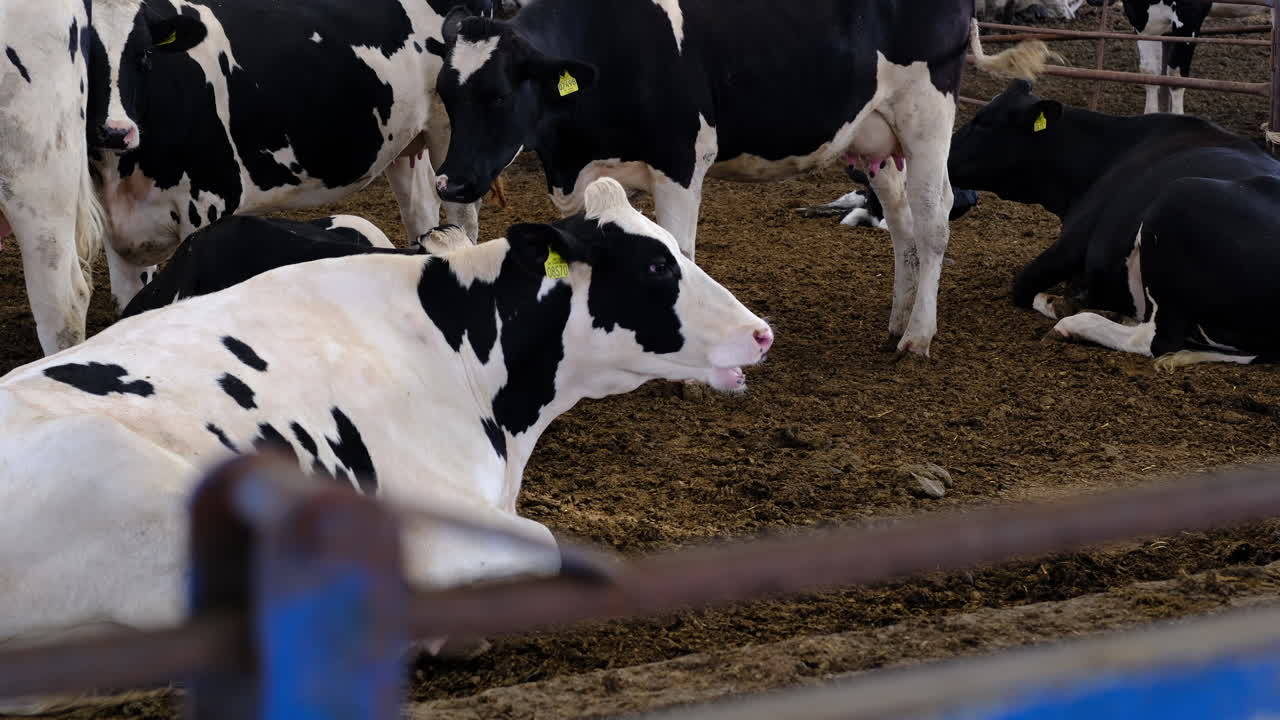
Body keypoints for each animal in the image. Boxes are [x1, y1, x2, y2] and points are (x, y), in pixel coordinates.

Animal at [427, 0, 1052, 358]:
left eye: (498, 96)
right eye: (447, 96)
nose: (450, 185)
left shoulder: (681, 163)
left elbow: (678, 251)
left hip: (928, 114)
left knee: (933, 218)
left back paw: (919, 335)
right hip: (877, 138)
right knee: (901, 223)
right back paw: (896, 324)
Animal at [949, 80, 1280, 366]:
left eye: (983, 122)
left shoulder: (1074, 241)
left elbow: (1021, 285)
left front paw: (1059, 302)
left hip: (1177, 196)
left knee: (1155, 340)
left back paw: (1075, 321)